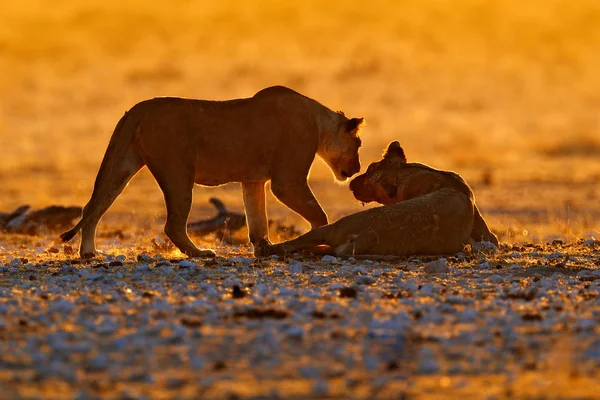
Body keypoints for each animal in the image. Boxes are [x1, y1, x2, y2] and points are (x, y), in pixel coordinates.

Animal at [59, 86, 360, 258]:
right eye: (358, 144)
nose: (357, 169)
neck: (318, 122)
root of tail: (138, 108)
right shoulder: (288, 180)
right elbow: (318, 214)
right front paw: (318, 243)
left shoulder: (253, 180)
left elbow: (257, 219)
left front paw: (263, 248)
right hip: (178, 172)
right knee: (173, 225)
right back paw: (200, 253)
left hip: (122, 166)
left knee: (93, 207)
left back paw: (89, 253)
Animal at [270, 142, 500, 258]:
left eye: (369, 173)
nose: (351, 183)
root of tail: (366, 236)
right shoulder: (485, 233)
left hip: (335, 226)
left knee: (300, 243)